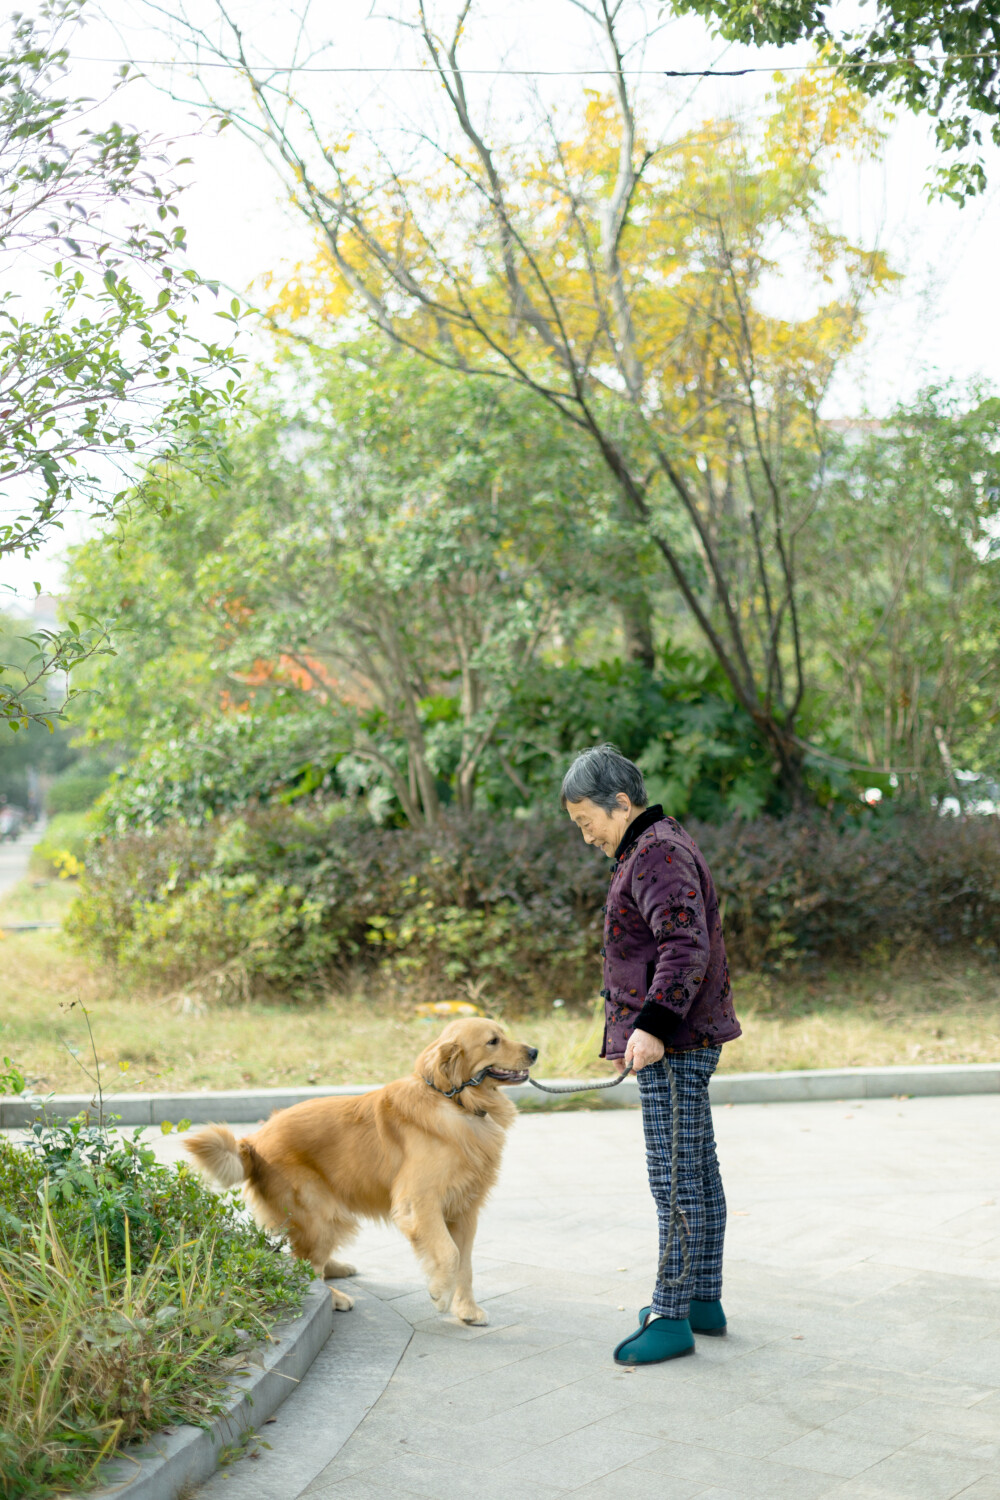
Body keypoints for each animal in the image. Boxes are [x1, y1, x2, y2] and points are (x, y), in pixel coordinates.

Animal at [183, 1020, 536, 1326]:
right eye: (493, 1041)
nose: (534, 1051)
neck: (454, 1100)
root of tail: (252, 1141)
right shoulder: (420, 1202)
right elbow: (448, 1253)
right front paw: (440, 1294)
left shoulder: (464, 1209)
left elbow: (465, 1263)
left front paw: (467, 1310)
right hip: (320, 1212)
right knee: (302, 1267)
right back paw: (334, 1297)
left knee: (307, 1260)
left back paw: (337, 1270)